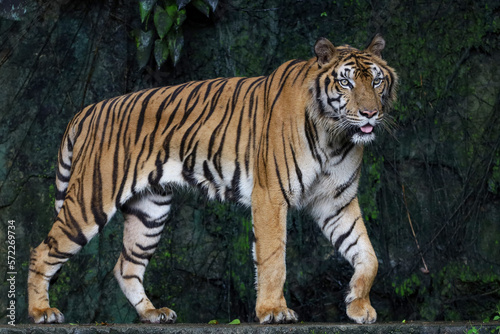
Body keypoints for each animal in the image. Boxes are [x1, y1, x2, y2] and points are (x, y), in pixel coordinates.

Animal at [29, 35, 398, 324]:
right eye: (346, 83)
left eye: (376, 81)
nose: (369, 114)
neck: (336, 136)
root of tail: (89, 109)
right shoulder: (271, 195)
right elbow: (273, 258)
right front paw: (273, 310)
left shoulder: (336, 201)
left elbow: (368, 255)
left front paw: (358, 305)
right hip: (91, 200)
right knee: (42, 251)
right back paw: (41, 312)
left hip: (150, 211)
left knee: (125, 266)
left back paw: (152, 313)